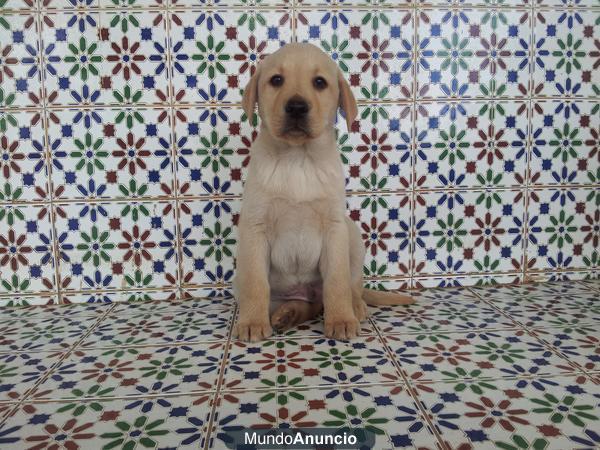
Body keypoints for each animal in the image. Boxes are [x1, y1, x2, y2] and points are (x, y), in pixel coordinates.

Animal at [230, 44, 412, 342]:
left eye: (319, 83)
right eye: (276, 80)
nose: (296, 107)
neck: (297, 159)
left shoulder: (334, 228)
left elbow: (337, 283)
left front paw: (341, 320)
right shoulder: (255, 228)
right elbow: (256, 284)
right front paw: (253, 323)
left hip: (352, 235)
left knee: (349, 287)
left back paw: (354, 307)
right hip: (246, 281)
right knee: (309, 304)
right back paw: (286, 314)